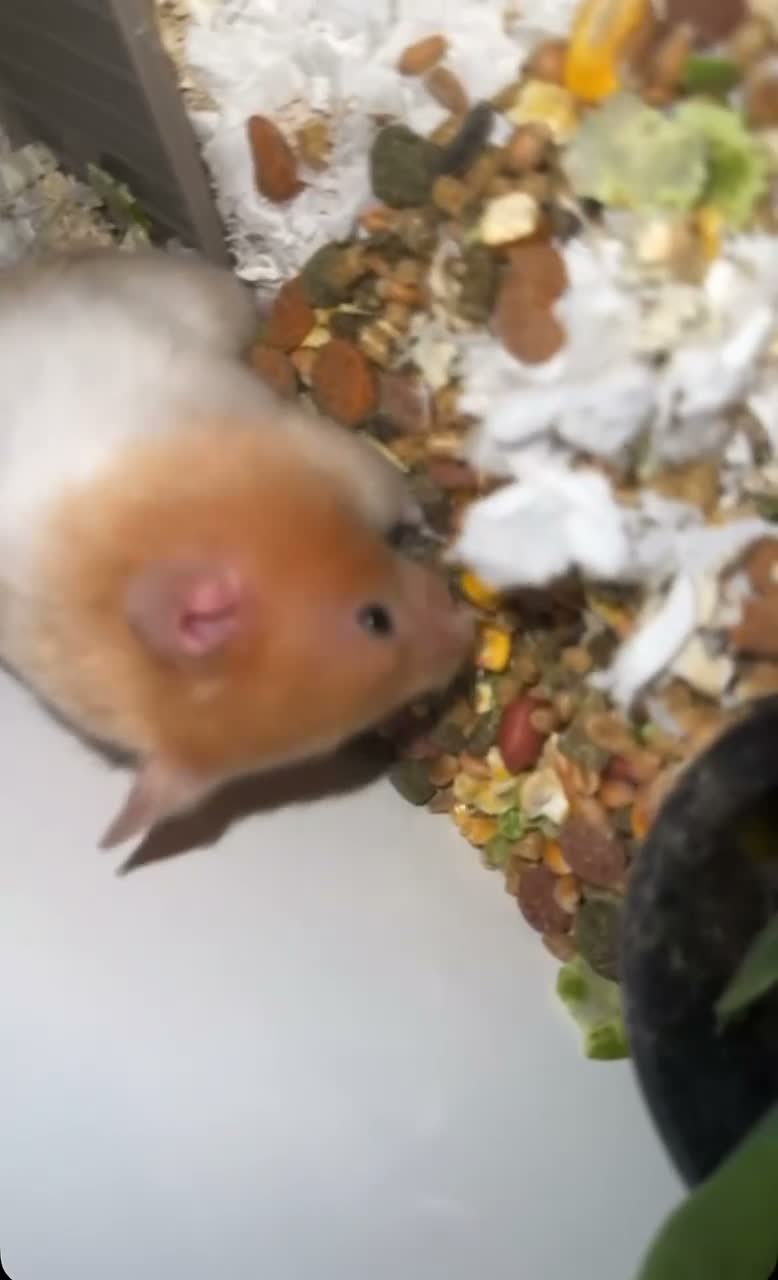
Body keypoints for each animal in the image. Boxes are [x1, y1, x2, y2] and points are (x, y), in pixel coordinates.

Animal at [0, 247, 472, 849]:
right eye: (377, 621)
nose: (468, 632)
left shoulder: (330, 458)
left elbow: (395, 490)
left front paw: (430, 526)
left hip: (188, 295)